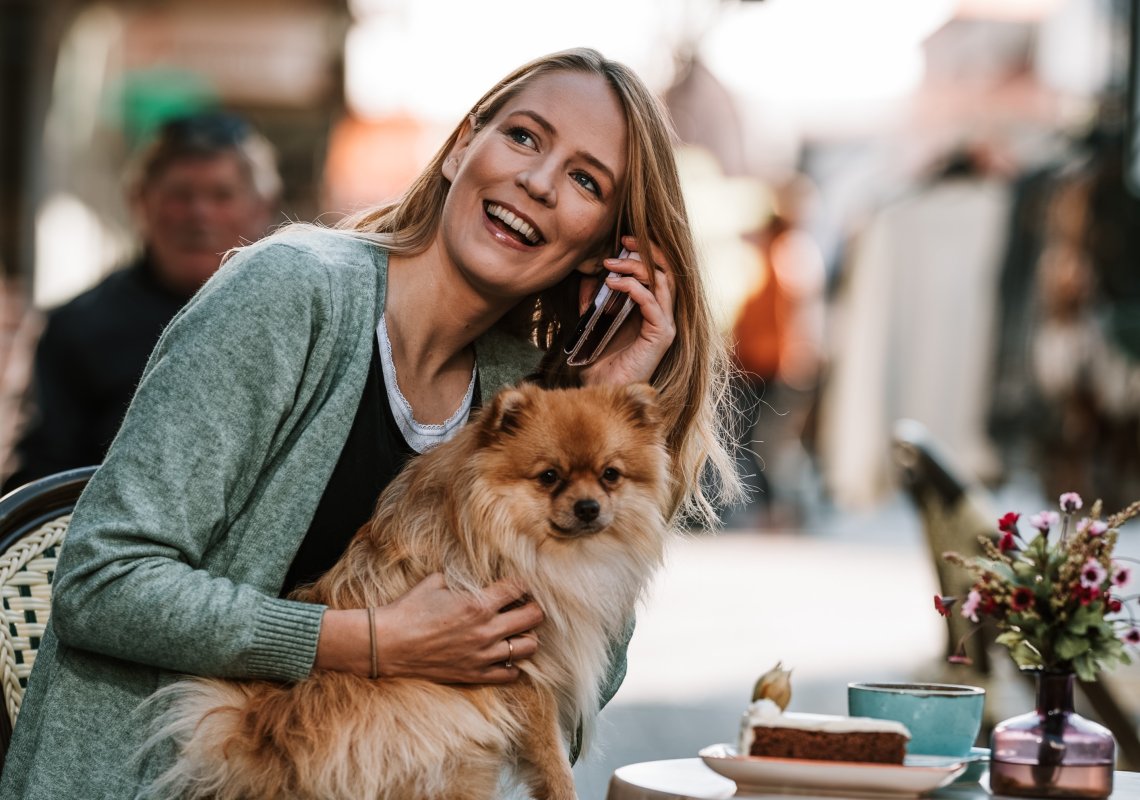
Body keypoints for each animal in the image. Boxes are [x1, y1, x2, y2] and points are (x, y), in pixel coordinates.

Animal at [142, 382, 674, 800]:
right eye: (549, 477)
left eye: (610, 475)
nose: (588, 507)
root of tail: (267, 739)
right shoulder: (523, 673)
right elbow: (553, 763)